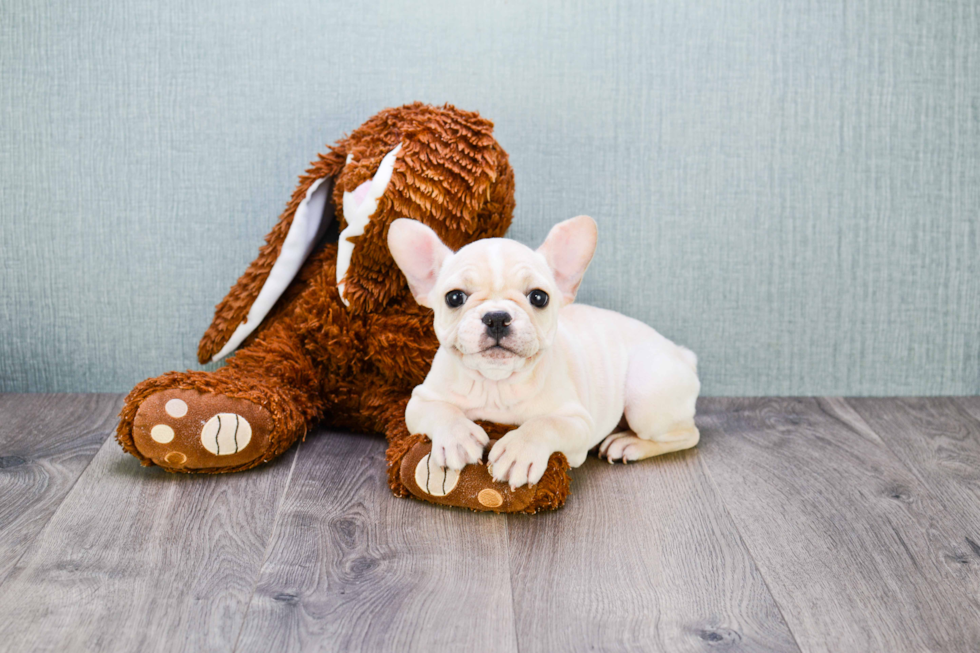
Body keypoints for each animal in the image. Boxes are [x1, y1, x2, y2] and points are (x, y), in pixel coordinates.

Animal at [386, 216, 700, 486]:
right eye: (454, 298)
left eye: (539, 297)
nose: (497, 317)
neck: (495, 385)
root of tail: (682, 353)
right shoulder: (420, 400)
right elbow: (441, 410)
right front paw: (456, 436)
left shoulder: (577, 421)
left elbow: (545, 424)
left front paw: (519, 451)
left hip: (645, 397)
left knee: (688, 434)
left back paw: (628, 443)